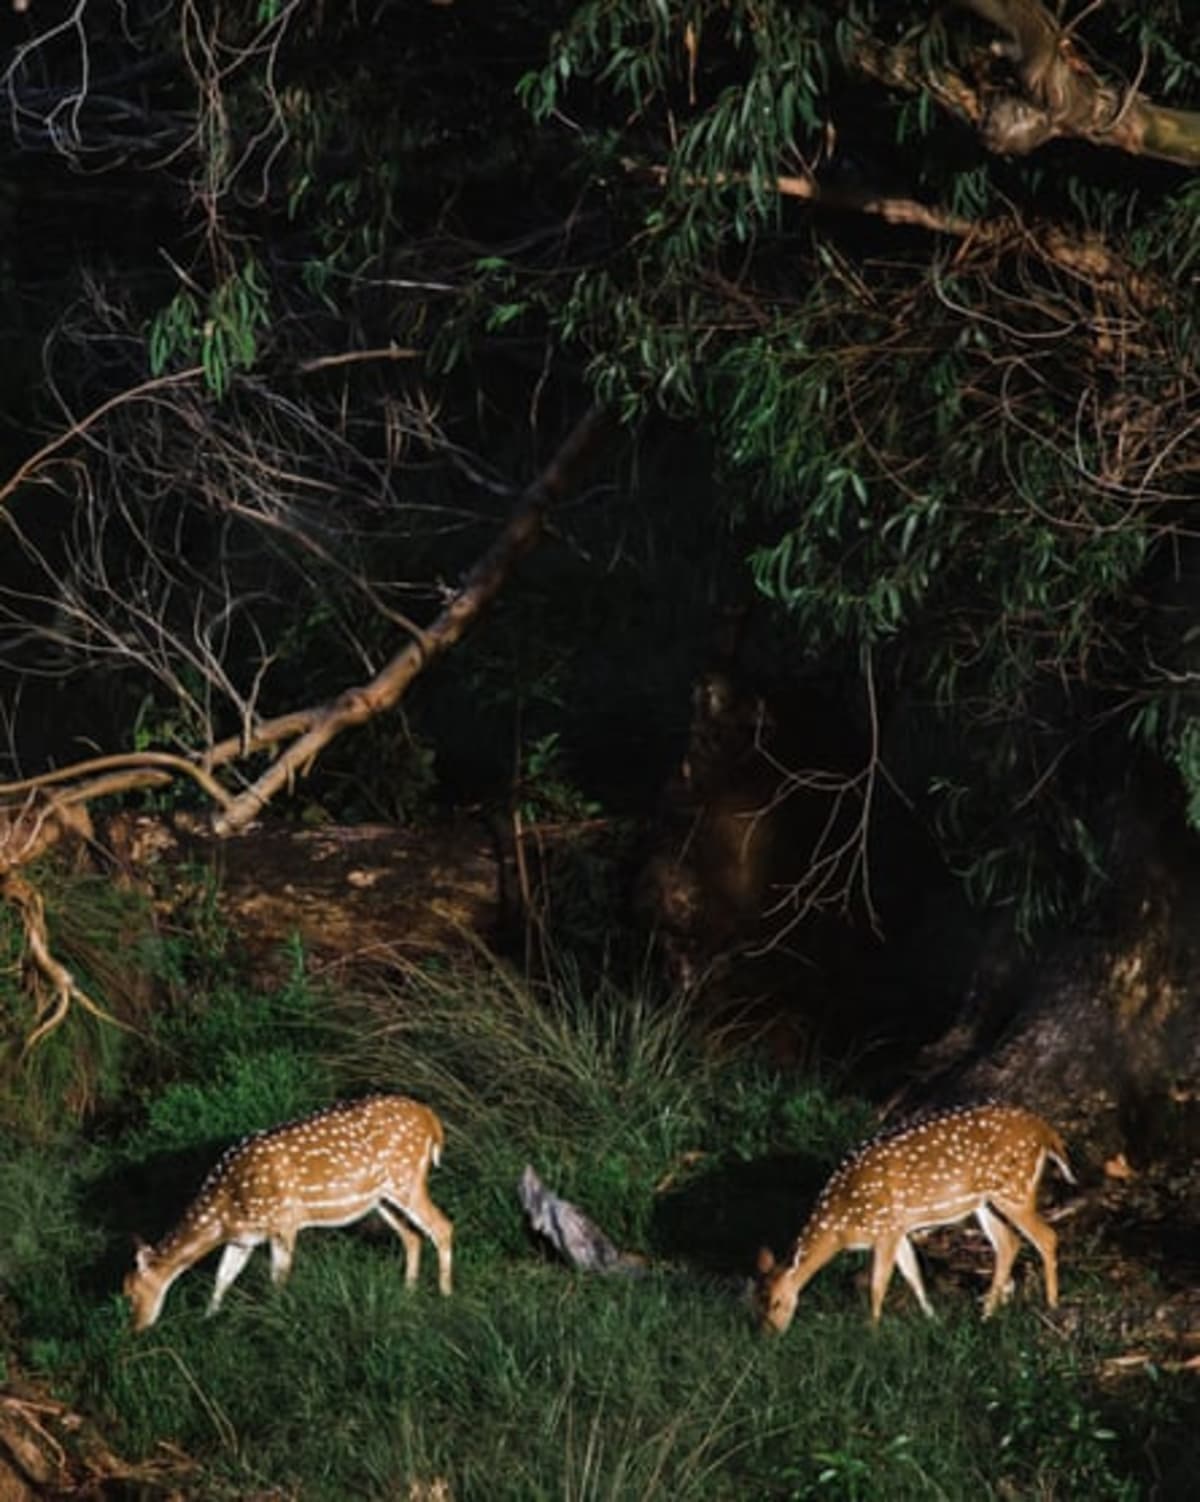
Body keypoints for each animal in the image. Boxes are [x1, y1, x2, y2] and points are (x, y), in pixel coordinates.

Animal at [124, 1095, 453, 1331]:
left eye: (131, 1293)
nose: (137, 1329)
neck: (226, 1207)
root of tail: (431, 1119)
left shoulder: (285, 1222)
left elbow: (277, 1280)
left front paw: (277, 1322)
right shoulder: (243, 1237)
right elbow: (223, 1278)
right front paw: (207, 1320)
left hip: (406, 1179)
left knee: (442, 1227)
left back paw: (445, 1295)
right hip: (381, 1199)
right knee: (412, 1236)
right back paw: (409, 1292)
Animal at [754, 1101, 1074, 1332]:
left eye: (777, 1302)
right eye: (756, 1302)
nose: (769, 1335)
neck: (842, 1225)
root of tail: (1046, 1131)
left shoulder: (886, 1228)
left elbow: (878, 1284)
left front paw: (871, 1332)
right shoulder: (900, 1229)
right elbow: (913, 1275)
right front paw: (932, 1319)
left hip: (1015, 1190)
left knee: (1047, 1237)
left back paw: (1051, 1304)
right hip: (984, 1202)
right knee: (1008, 1243)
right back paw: (986, 1313)